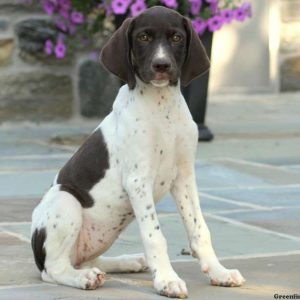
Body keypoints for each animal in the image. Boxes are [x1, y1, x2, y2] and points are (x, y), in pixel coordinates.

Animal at [31, 5, 244, 298]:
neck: (162, 107)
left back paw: (127, 261)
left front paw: (218, 272)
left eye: (176, 38)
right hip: (65, 200)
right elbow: (155, 236)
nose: (161, 65)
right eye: (143, 37)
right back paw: (85, 277)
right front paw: (166, 280)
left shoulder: (184, 177)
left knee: (89, 260)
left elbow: (200, 229)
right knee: (54, 269)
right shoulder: (138, 181)